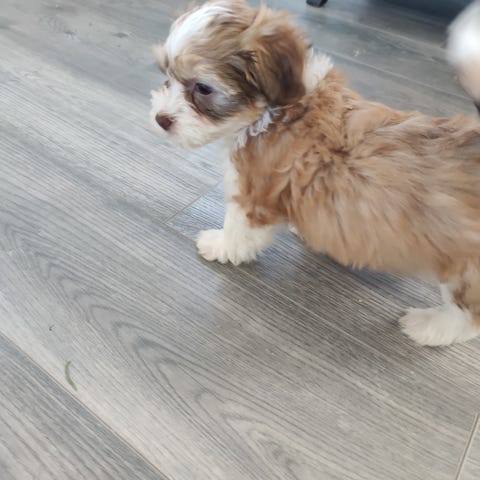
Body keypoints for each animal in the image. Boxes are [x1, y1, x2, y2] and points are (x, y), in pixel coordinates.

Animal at [150, 0, 480, 347]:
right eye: (166, 75)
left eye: (203, 88)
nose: (161, 119)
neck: (277, 109)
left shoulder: (253, 193)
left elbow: (238, 228)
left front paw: (220, 245)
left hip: (465, 267)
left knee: (467, 315)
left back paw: (430, 326)